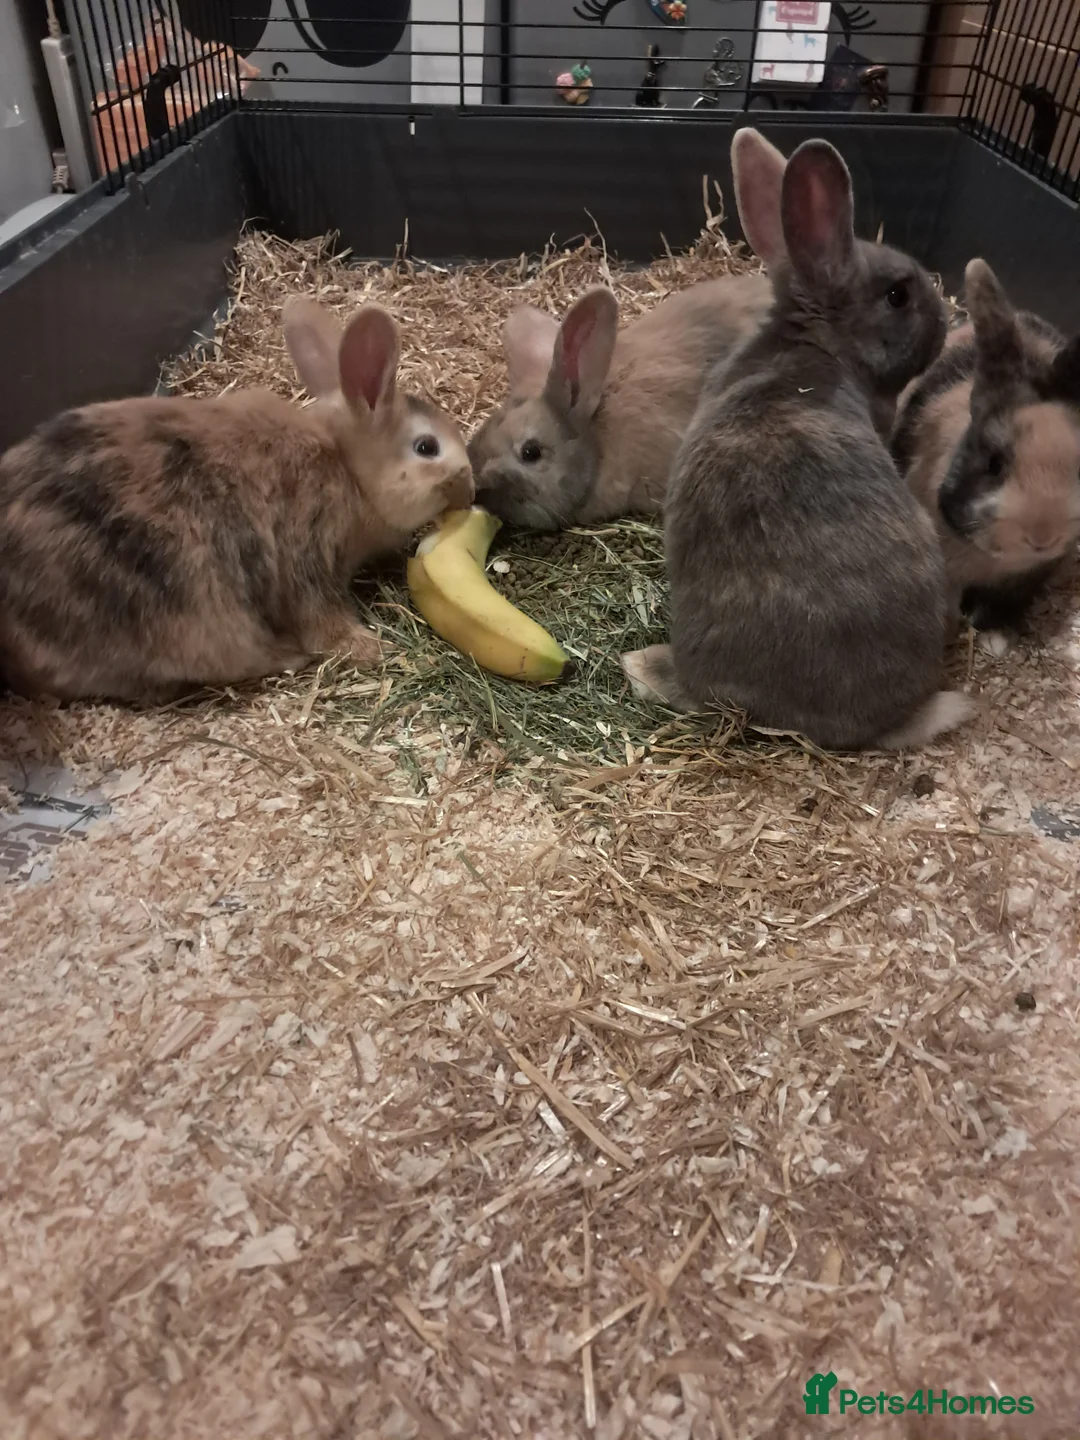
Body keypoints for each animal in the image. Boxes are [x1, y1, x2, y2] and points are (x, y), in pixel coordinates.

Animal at [0, 298, 473, 703]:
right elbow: (321, 620)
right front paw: (368, 648)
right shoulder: (308, 552)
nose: (469, 491)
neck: (346, 468)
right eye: (427, 448)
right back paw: (286, 654)